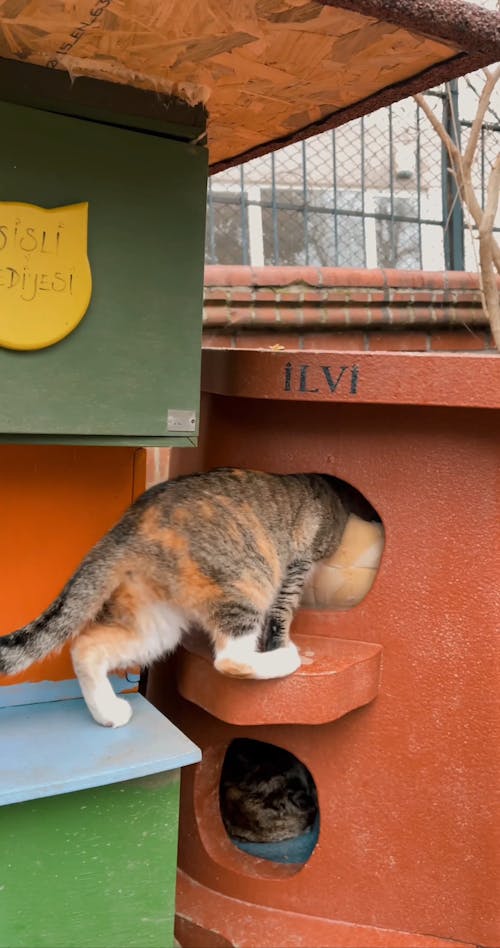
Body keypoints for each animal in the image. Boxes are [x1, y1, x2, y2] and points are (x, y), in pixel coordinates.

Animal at [0, 470, 348, 728]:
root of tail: (128, 526)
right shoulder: (300, 562)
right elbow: (283, 609)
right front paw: (281, 641)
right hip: (247, 581)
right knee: (230, 658)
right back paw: (285, 658)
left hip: (157, 626)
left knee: (85, 646)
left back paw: (109, 713)